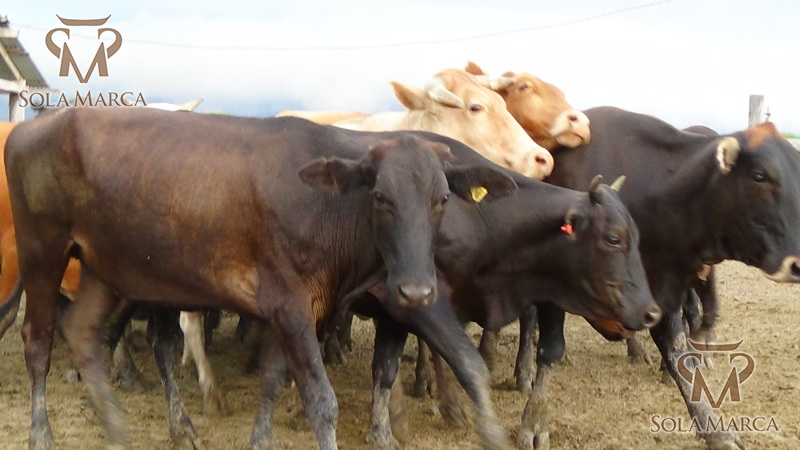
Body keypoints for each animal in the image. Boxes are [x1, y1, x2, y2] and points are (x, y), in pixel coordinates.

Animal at [5, 108, 521, 450]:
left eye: (442, 199)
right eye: (380, 196)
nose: (417, 291)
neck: (327, 208)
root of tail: (36, 123)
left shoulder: (281, 307)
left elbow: (272, 379)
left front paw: (260, 439)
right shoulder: (292, 306)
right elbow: (321, 401)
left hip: (102, 265)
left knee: (83, 332)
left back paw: (115, 426)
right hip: (42, 252)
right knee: (39, 340)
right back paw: (41, 434)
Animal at [517, 107, 800, 450]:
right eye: (759, 176)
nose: (796, 264)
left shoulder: (663, 293)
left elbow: (678, 351)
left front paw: (715, 430)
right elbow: (550, 349)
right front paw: (534, 420)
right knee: (528, 319)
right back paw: (523, 370)